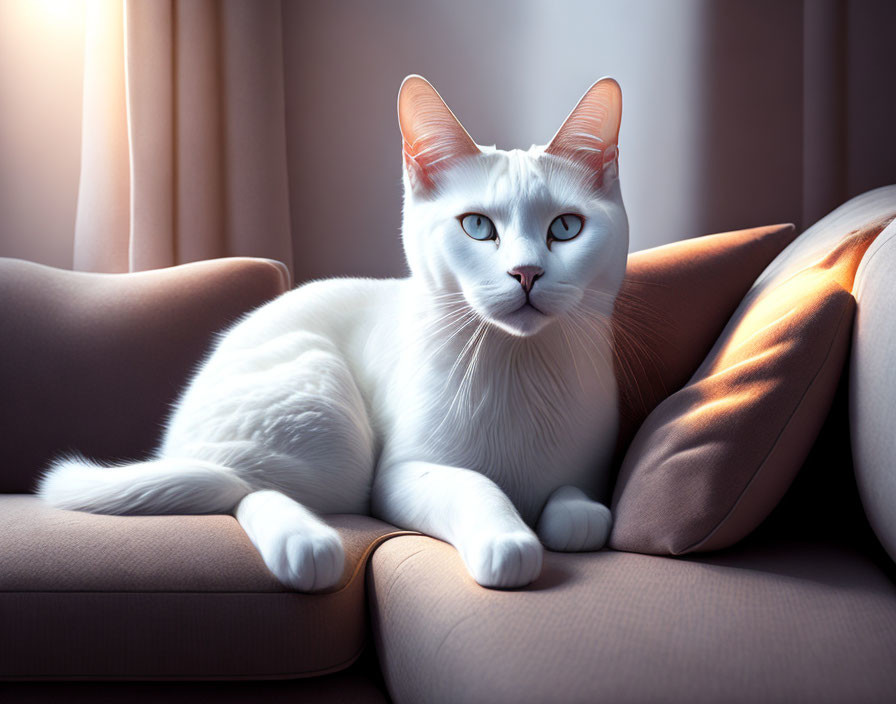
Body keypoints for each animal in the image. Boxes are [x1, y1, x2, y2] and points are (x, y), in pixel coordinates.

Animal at [38, 77, 628, 592]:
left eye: (566, 227)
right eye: (478, 226)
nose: (526, 273)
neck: (518, 365)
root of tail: (173, 444)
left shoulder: (589, 472)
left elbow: (581, 507)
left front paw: (567, 514)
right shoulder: (396, 476)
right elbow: (473, 484)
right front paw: (508, 539)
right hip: (325, 404)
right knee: (243, 487)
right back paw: (307, 546)